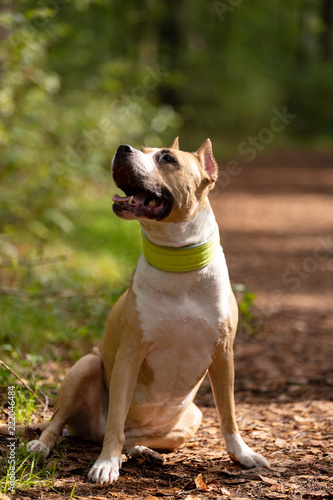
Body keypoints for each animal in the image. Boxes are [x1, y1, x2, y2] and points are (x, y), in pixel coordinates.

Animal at [26, 138, 270, 484]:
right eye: (143, 149)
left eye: (167, 158)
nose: (122, 148)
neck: (177, 264)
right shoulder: (130, 355)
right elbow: (116, 418)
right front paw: (105, 463)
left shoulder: (223, 356)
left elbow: (229, 413)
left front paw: (242, 454)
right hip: (85, 367)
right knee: (62, 424)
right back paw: (45, 446)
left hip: (191, 417)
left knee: (134, 438)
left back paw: (143, 452)